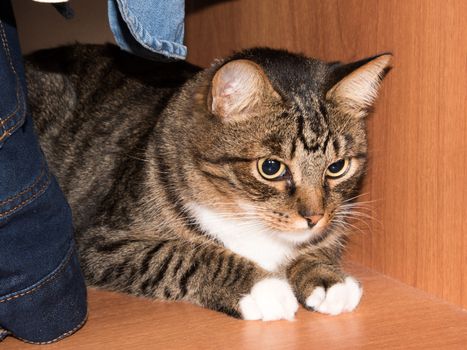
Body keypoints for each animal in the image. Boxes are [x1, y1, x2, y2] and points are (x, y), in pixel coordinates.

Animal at [25, 45, 392, 322]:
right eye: (271, 167)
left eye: (338, 166)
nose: (313, 217)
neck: (245, 215)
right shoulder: (100, 243)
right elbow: (179, 254)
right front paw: (262, 287)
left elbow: (315, 248)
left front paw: (327, 279)